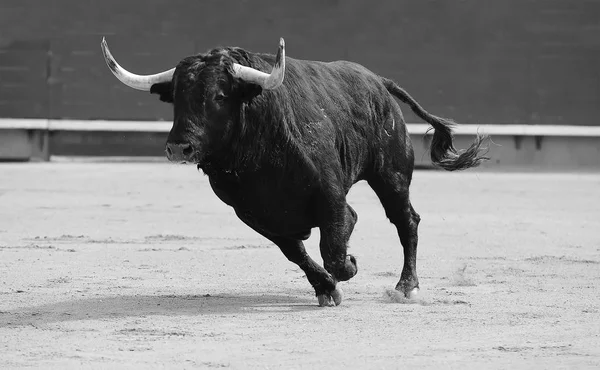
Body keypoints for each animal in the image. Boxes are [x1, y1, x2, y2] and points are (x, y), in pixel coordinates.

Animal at [103, 37, 488, 306]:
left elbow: (334, 248)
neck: (259, 158)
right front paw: (327, 289)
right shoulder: (251, 214)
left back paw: (407, 287)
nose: (178, 147)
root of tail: (379, 81)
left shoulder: (330, 195)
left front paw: (350, 266)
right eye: (176, 97)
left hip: (391, 175)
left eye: (220, 95)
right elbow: (296, 251)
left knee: (405, 220)